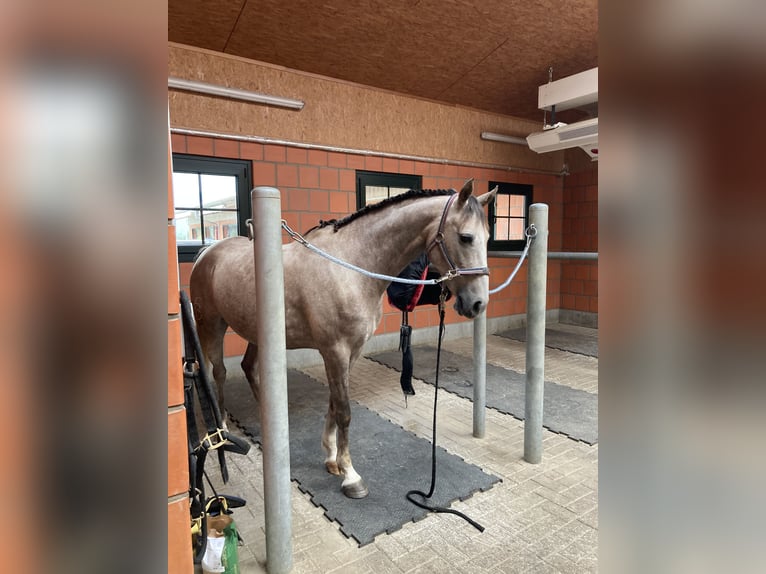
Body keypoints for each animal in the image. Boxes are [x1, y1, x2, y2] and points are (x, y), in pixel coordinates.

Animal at [189, 178, 497, 498]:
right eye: (465, 237)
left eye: (488, 237)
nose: (477, 304)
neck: (351, 265)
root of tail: (207, 253)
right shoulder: (335, 350)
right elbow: (345, 411)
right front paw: (350, 475)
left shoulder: (351, 351)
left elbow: (334, 404)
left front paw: (331, 457)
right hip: (211, 326)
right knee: (216, 373)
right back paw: (223, 431)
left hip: (256, 333)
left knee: (248, 368)